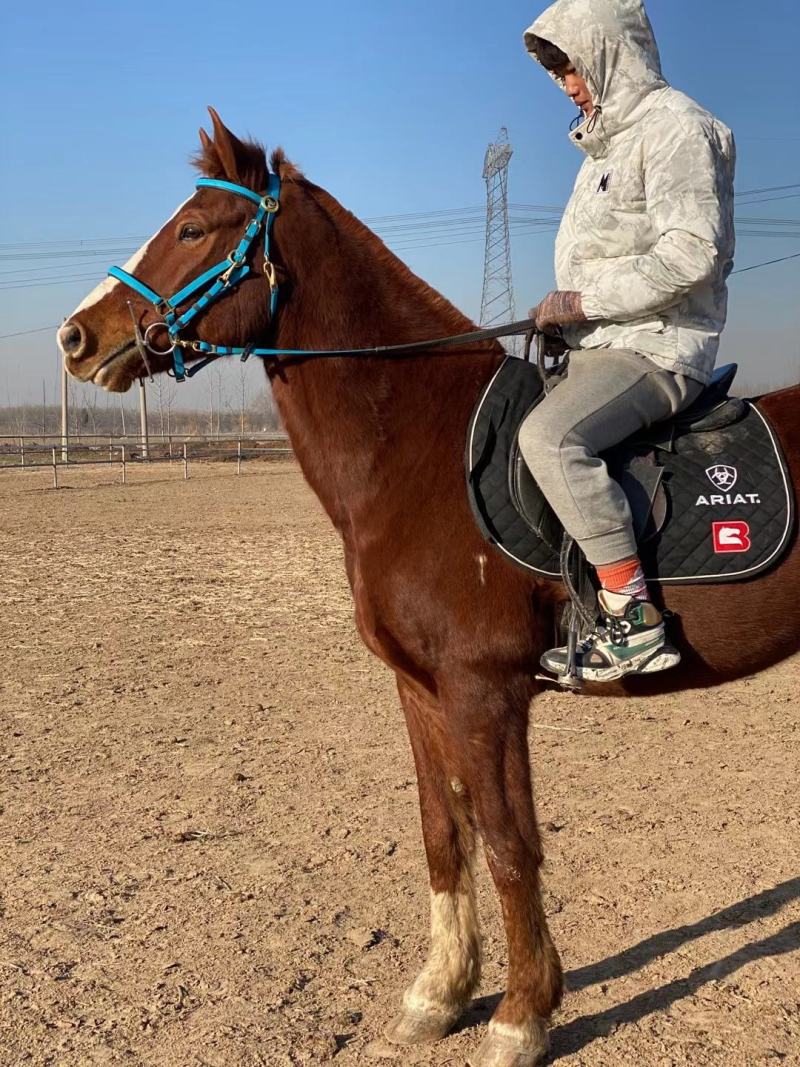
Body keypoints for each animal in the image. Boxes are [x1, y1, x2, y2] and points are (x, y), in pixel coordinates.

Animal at [57, 109, 800, 1067]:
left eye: (191, 229)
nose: (76, 337)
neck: (419, 448)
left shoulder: (485, 692)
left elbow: (510, 845)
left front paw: (521, 1016)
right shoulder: (421, 690)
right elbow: (443, 835)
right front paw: (439, 995)